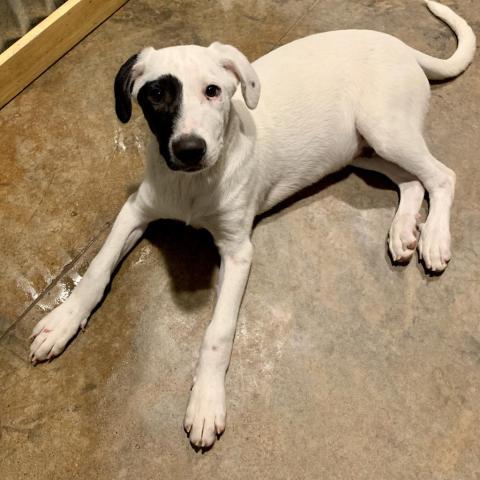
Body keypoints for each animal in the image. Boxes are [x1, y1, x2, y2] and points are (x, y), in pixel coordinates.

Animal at [30, 0, 476, 448]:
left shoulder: (238, 251)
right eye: (156, 95)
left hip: (385, 130)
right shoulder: (136, 209)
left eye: (213, 91)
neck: (194, 184)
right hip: (360, 150)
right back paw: (404, 232)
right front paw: (63, 321)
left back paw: (434, 239)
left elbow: (218, 331)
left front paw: (206, 402)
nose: (189, 150)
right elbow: (97, 269)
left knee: (442, 176)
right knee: (412, 181)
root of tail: (400, 46)